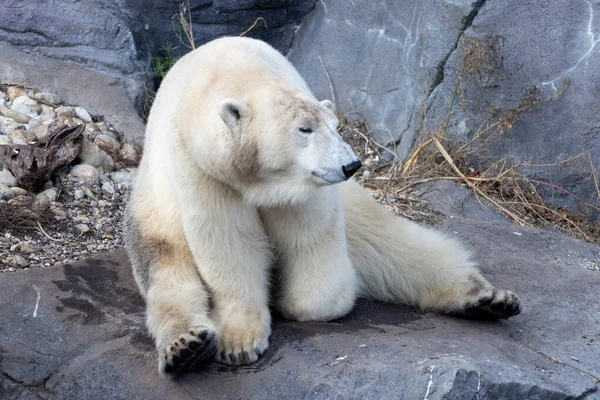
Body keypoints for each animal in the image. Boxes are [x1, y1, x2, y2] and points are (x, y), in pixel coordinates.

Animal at [124, 36, 524, 376]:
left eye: (335, 126)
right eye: (304, 129)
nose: (351, 165)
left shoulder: (306, 189)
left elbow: (312, 250)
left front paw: (292, 300)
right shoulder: (205, 171)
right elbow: (230, 243)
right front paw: (239, 342)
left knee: (392, 245)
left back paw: (489, 299)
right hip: (153, 208)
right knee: (166, 270)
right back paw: (185, 347)